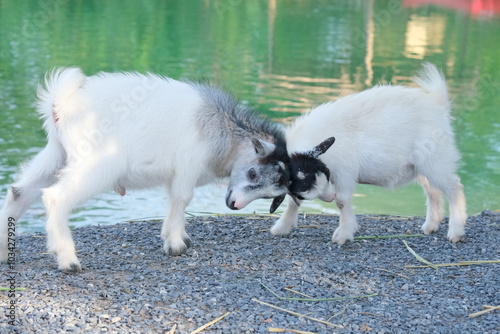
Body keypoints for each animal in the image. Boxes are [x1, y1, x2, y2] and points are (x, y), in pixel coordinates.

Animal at [0, 68, 290, 272]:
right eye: (252, 173)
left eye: (269, 194)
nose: (234, 204)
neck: (222, 130)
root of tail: (60, 105)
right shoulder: (187, 166)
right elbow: (182, 199)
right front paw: (175, 245)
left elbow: (176, 202)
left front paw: (178, 237)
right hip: (99, 162)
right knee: (55, 197)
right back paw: (68, 260)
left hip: (57, 153)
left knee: (18, 192)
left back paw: (5, 252)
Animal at [272, 63, 466, 243]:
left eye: (323, 171)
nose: (329, 196)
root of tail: (438, 103)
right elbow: (293, 201)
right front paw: (281, 228)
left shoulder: (344, 173)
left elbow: (342, 202)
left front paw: (343, 235)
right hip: (422, 166)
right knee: (433, 191)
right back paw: (430, 226)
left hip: (436, 160)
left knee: (454, 188)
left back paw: (455, 232)